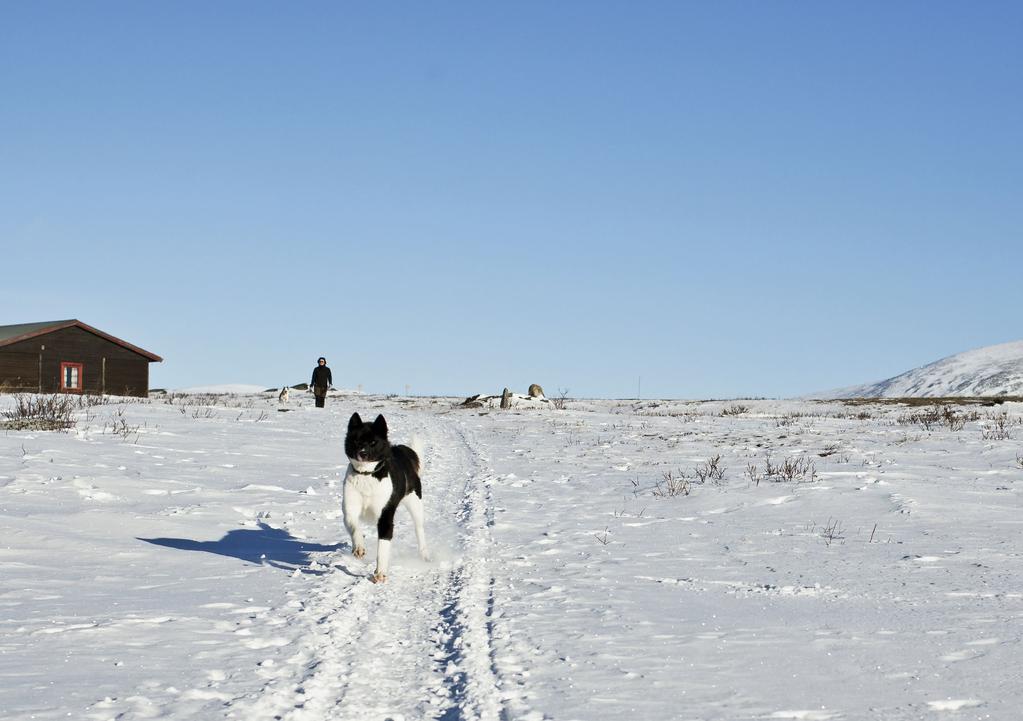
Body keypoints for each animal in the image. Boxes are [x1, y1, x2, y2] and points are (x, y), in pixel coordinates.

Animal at [341, 413, 425, 580]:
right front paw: (359, 547)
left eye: (373, 442)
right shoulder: (349, 509)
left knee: (419, 529)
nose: (362, 453)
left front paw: (380, 572)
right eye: (356, 440)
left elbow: (383, 546)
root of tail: (402, 451)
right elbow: (354, 526)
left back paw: (425, 555)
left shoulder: (385, 517)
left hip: (415, 503)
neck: (367, 475)